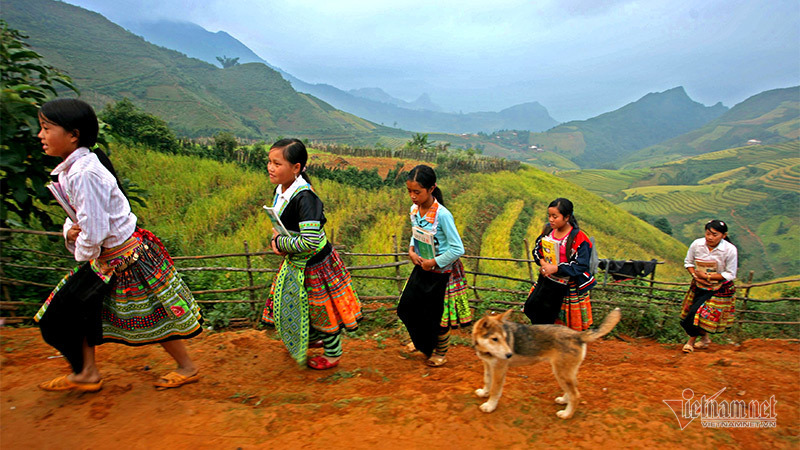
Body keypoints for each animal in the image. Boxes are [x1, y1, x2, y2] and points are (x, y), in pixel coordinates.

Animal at [472, 310, 620, 418]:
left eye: (505, 338)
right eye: (495, 339)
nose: (509, 355)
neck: (486, 350)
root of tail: (577, 334)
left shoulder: (500, 369)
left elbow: (495, 390)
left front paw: (490, 406)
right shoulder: (488, 365)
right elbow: (487, 381)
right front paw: (484, 393)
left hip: (560, 372)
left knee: (576, 395)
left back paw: (566, 414)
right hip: (566, 372)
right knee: (573, 389)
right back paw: (564, 401)